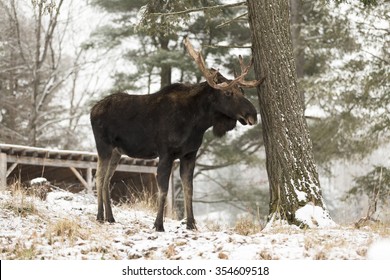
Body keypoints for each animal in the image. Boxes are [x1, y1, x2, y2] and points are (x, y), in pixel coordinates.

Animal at [90, 38, 264, 232]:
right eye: (228, 92)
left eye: (242, 91)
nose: (253, 114)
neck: (197, 123)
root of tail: (92, 110)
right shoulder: (166, 153)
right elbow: (163, 189)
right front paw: (158, 224)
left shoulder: (190, 154)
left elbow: (189, 189)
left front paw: (191, 224)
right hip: (103, 146)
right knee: (99, 177)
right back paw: (100, 216)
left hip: (117, 151)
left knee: (107, 179)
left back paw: (110, 217)